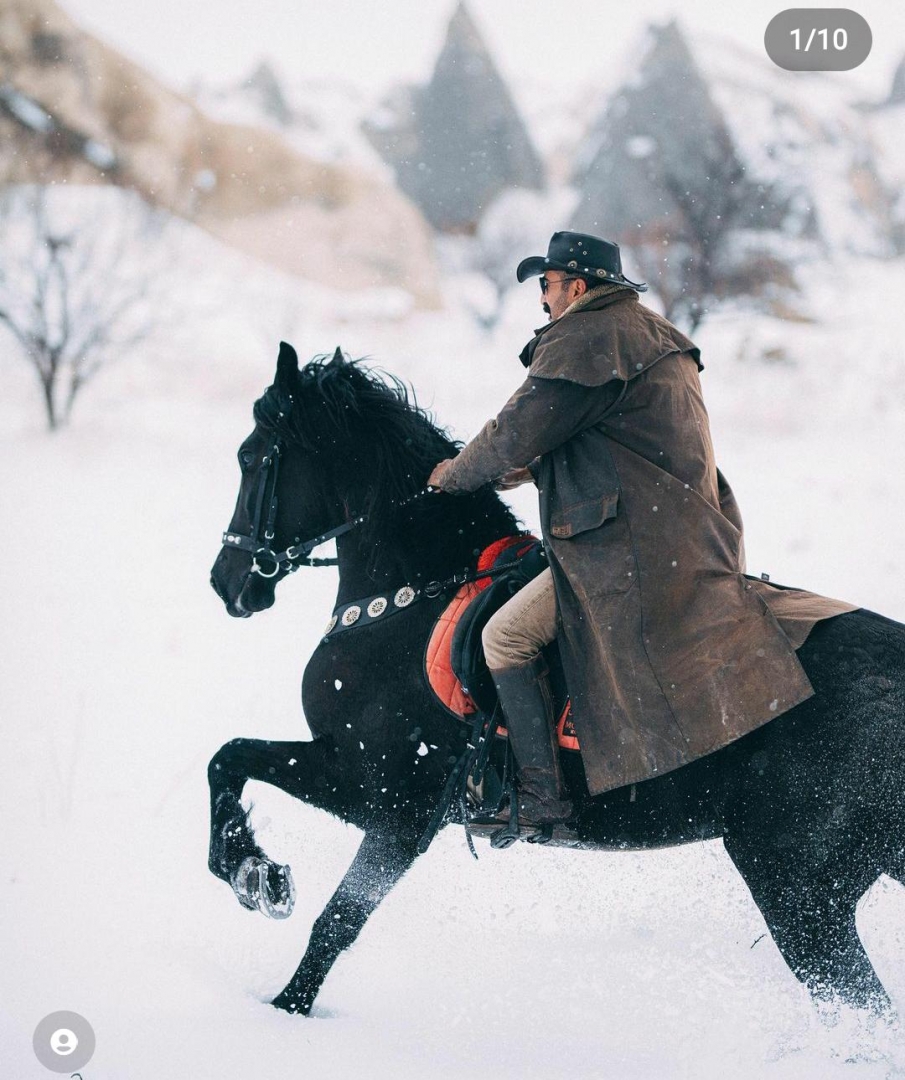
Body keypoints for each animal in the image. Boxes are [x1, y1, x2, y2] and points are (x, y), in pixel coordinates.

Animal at [209, 347, 905, 1019]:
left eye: (249, 457)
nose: (227, 581)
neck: (413, 595)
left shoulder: (390, 799)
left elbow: (334, 912)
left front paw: (274, 957)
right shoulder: (367, 783)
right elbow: (232, 759)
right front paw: (254, 875)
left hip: (797, 887)